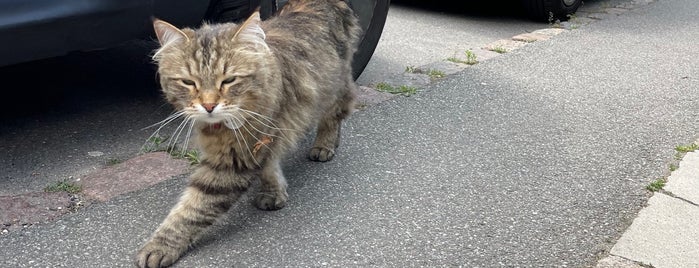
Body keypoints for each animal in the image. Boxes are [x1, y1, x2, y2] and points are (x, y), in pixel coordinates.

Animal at [137, 1, 360, 266]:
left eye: (229, 80)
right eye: (189, 83)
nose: (209, 106)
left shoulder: (233, 161)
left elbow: (192, 210)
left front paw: (160, 246)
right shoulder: (260, 143)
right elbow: (269, 168)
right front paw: (274, 192)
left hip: (335, 87)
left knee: (334, 116)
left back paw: (325, 146)